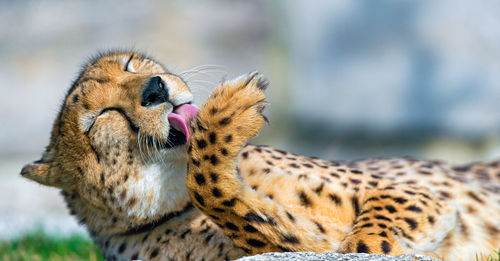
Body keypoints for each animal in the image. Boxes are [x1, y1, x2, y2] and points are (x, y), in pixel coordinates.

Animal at [21, 50, 500, 258]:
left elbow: (364, 237)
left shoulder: (410, 195)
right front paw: (227, 117)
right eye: (102, 117)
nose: (155, 88)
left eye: (129, 65)